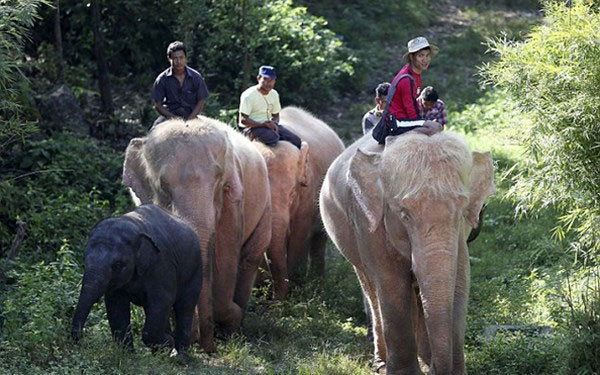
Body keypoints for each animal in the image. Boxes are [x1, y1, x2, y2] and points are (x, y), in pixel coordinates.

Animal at [71, 204, 203, 354]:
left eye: (117, 265)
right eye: (84, 260)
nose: (79, 342)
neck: (134, 226)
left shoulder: (162, 265)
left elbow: (163, 299)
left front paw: (168, 344)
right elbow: (116, 305)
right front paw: (128, 355)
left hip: (195, 269)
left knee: (185, 306)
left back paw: (180, 355)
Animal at [122, 117, 272, 352]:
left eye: (219, 180)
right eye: (163, 186)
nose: (207, 348)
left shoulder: (232, 200)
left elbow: (226, 255)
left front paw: (227, 324)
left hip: (265, 206)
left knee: (249, 258)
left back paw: (236, 327)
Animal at [252, 106, 344, 300]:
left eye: (293, 195)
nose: (274, 298)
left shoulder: (308, 193)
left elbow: (300, 235)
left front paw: (295, 289)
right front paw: (261, 292)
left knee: (319, 239)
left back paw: (318, 281)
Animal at [322, 132, 494, 375]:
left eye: (462, 211)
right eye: (404, 215)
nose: (436, 370)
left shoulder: (460, 237)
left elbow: (460, 283)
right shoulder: (370, 225)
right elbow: (392, 284)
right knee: (371, 290)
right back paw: (381, 363)